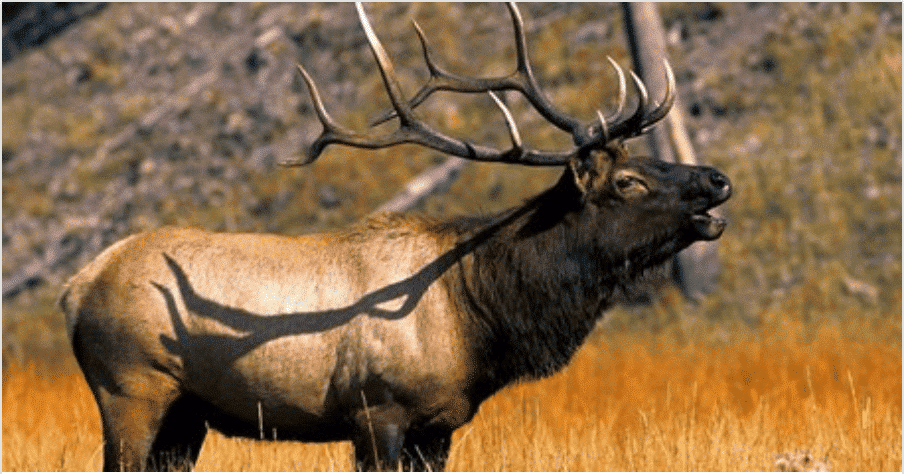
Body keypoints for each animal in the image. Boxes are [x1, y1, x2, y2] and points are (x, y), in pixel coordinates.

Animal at [61, 3, 731, 471]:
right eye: (628, 180)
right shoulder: (376, 411)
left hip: (186, 415)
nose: (718, 180)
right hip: (129, 389)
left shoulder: (440, 424)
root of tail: (76, 287)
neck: (478, 319)